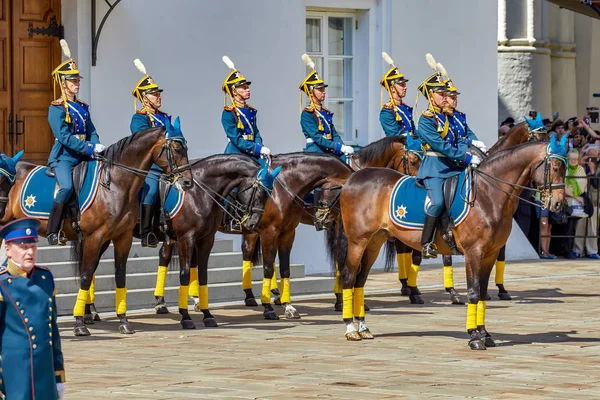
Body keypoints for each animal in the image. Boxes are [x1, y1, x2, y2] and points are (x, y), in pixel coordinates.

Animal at [0, 126, 192, 336]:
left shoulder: (122, 238)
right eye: (176, 149)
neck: (115, 185)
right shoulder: (94, 237)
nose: (188, 182)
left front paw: (123, 320)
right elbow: (85, 275)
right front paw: (79, 323)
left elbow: (119, 276)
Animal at [149, 154, 282, 328]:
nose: (253, 223)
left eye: (269, 194)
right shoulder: (186, 237)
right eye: (258, 191)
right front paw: (185, 316)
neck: (199, 193)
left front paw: (207, 315)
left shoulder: (206, 238)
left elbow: (203, 275)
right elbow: (185, 274)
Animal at [330, 136, 564, 348]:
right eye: (554, 166)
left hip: (374, 242)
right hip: (358, 241)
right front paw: (474, 336)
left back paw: (363, 327)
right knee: (350, 276)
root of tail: (353, 178)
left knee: (360, 280)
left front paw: (485, 334)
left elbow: (482, 293)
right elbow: (473, 292)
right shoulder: (474, 252)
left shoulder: (490, 254)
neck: (487, 194)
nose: (559, 204)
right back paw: (350, 328)